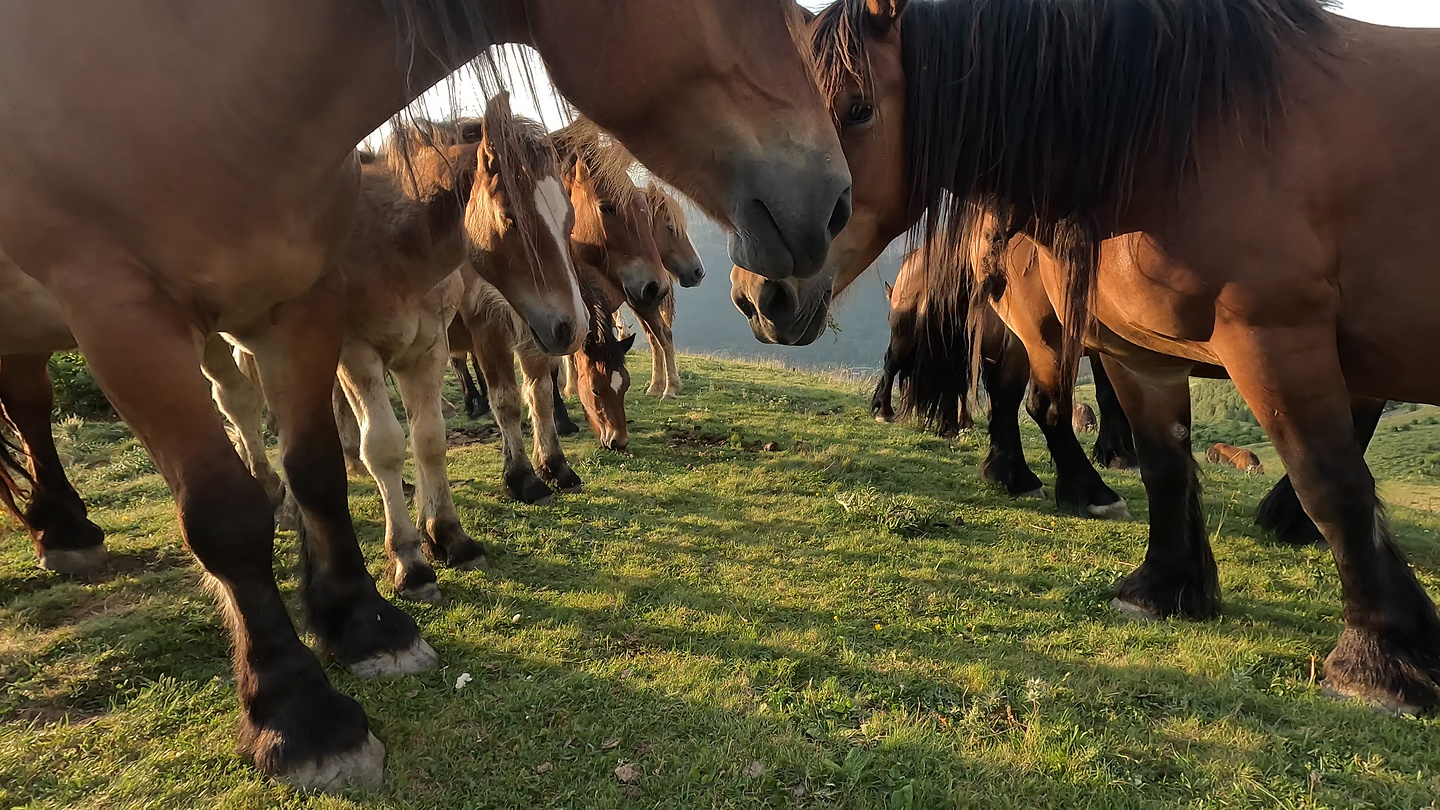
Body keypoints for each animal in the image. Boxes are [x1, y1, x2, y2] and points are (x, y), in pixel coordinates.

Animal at [0, 0, 846, 784]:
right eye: (519, 211)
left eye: (569, 213)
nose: (828, 206)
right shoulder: (336, 339)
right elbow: (386, 445)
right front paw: (401, 573)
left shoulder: (409, 336)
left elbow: (430, 437)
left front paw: (452, 536)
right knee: (215, 407)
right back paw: (115, 521)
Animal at [783, 0, 1440, 706]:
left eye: (858, 109)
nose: (762, 285)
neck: (1183, 134)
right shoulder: (1241, 341)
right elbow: (1314, 478)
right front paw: (1381, 652)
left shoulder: (1206, 347)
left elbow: (1199, 466)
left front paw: (1172, 586)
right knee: (1024, 398)